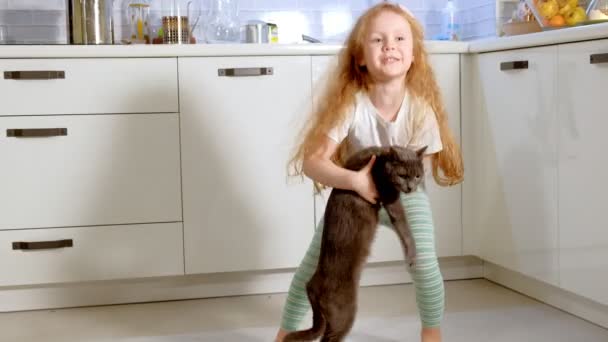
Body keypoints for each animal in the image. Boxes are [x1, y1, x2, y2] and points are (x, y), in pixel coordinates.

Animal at [284, 145, 428, 342]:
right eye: (403, 175)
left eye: (417, 176)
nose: (411, 187)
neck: (380, 156)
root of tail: (313, 289)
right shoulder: (390, 196)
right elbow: (404, 226)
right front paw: (412, 256)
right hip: (345, 312)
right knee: (329, 337)